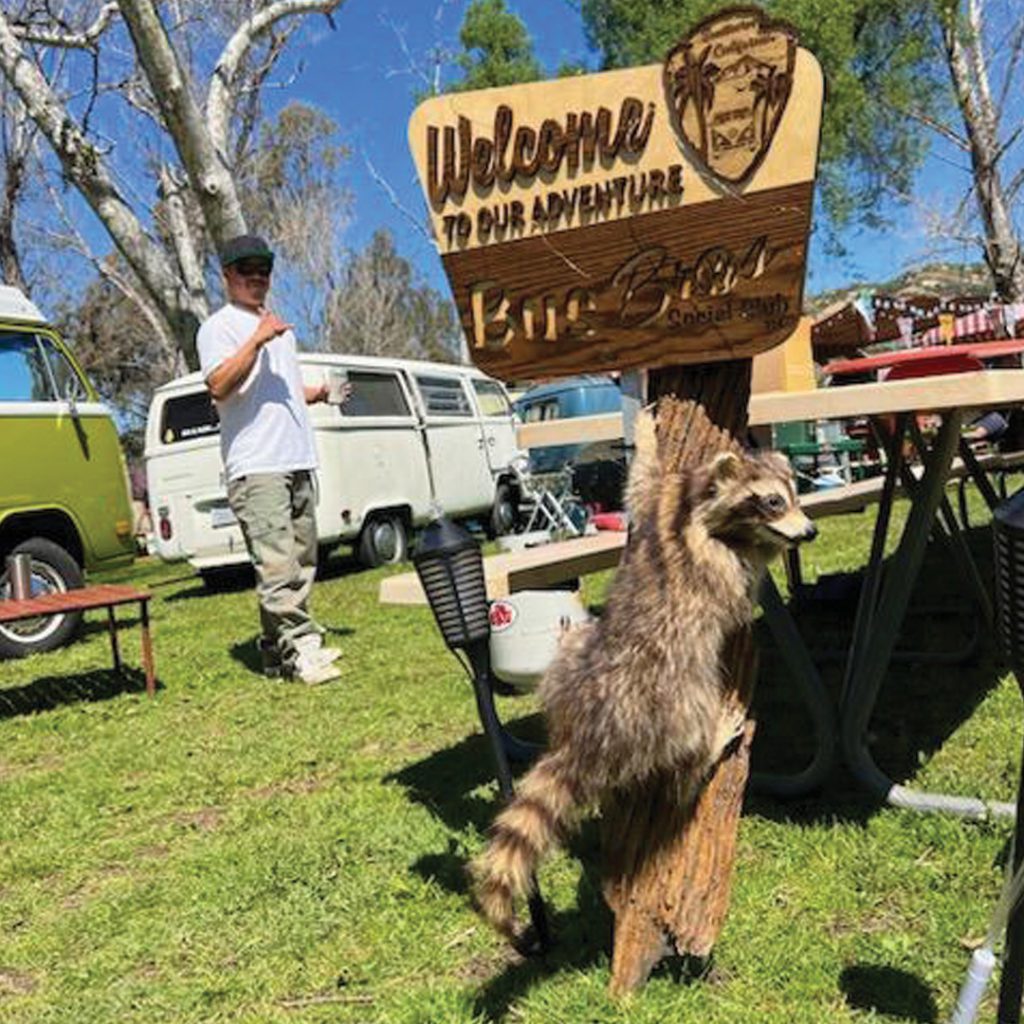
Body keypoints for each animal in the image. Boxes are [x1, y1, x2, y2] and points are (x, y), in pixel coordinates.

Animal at [471, 405, 815, 942]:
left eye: (796, 494)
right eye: (773, 503)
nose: (809, 531)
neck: (694, 502)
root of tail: (587, 734)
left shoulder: (661, 499)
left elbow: (642, 482)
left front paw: (646, 438)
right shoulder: (717, 564)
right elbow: (738, 603)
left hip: (572, 666)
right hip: (667, 698)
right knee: (685, 745)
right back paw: (709, 746)